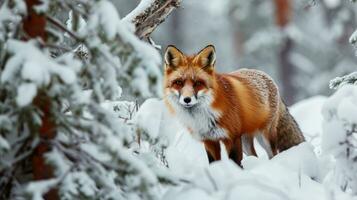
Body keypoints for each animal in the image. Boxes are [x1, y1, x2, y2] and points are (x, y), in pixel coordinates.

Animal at [163, 44, 304, 165]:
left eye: (198, 83)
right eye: (179, 82)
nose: (187, 99)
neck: (206, 115)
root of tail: (267, 76)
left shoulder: (232, 138)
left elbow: (235, 164)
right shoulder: (210, 141)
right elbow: (214, 164)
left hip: (265, 136)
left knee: (273, 155)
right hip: (246, 141)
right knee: (255, 155)